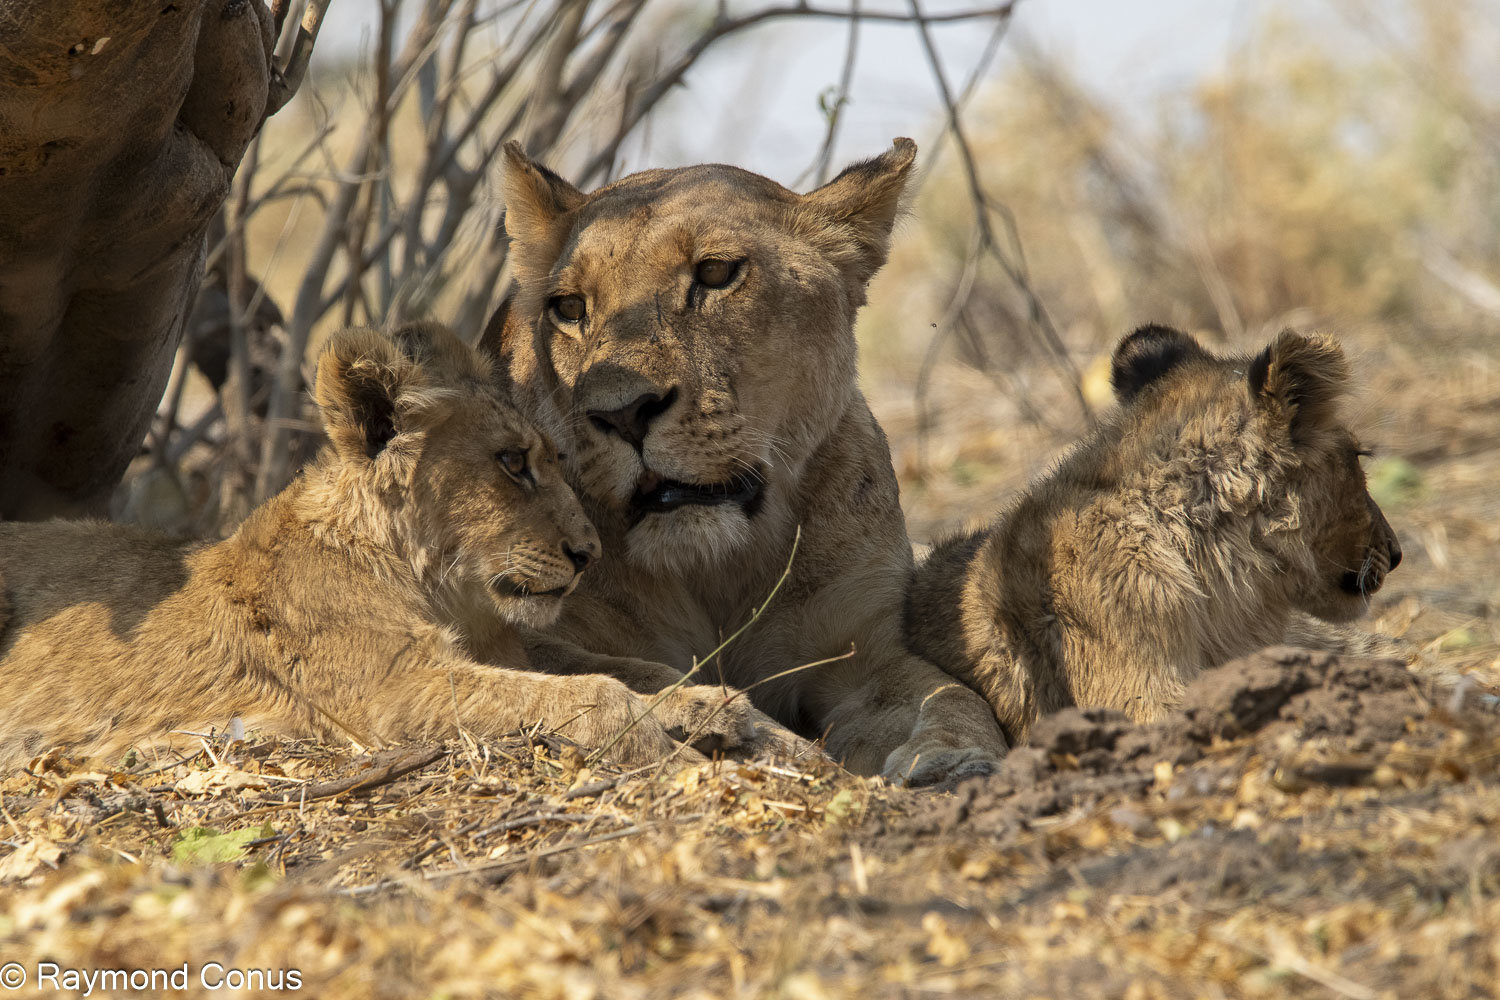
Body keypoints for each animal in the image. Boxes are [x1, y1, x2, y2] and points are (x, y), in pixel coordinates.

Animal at [0, 322, 752, 769]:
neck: (438, 590)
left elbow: (620, 666)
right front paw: (669, 746)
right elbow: (589, 693)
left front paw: (714, 706)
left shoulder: (506, 645)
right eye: (512, 462)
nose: (588, 552)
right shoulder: (394, 690)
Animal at [480, 139, 1009, 786]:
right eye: (569, 307)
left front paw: (952, 759)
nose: (623, 413)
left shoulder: (862, 647)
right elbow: (625, 673)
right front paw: (758, 741)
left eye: (715, 274)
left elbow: (952, 695)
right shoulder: (514, 629)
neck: (716, 571)